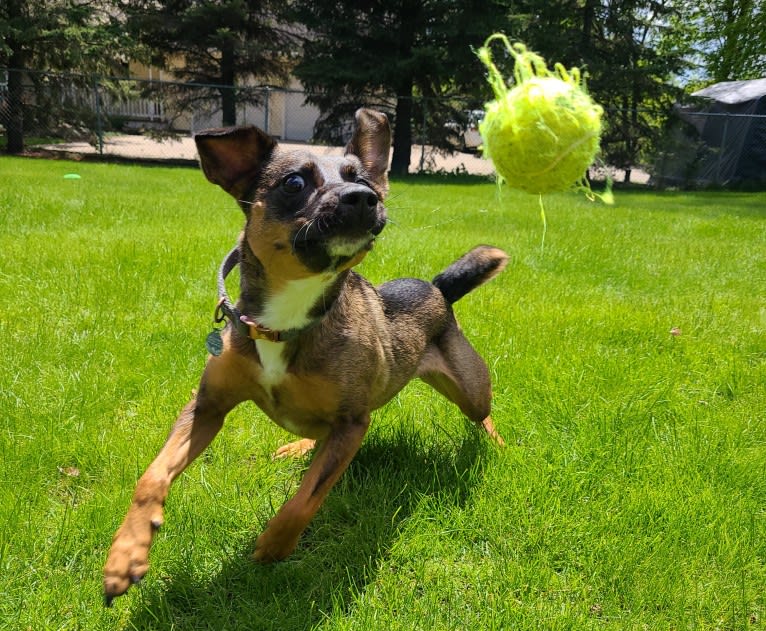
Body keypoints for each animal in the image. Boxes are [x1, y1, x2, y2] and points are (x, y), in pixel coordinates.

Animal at [102, 110, 510, 608]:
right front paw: (125, 557)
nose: (363, 198)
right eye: (294, 182)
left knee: (481, 413)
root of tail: (438, 288)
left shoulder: (352, 421)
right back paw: (299, 446)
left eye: (362, 180)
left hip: (470, 388)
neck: (289, 314)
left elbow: (307, 496)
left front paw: (275, 545)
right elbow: (152, 477)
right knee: (319, 438)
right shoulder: (207, 407)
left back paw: (495, 441)